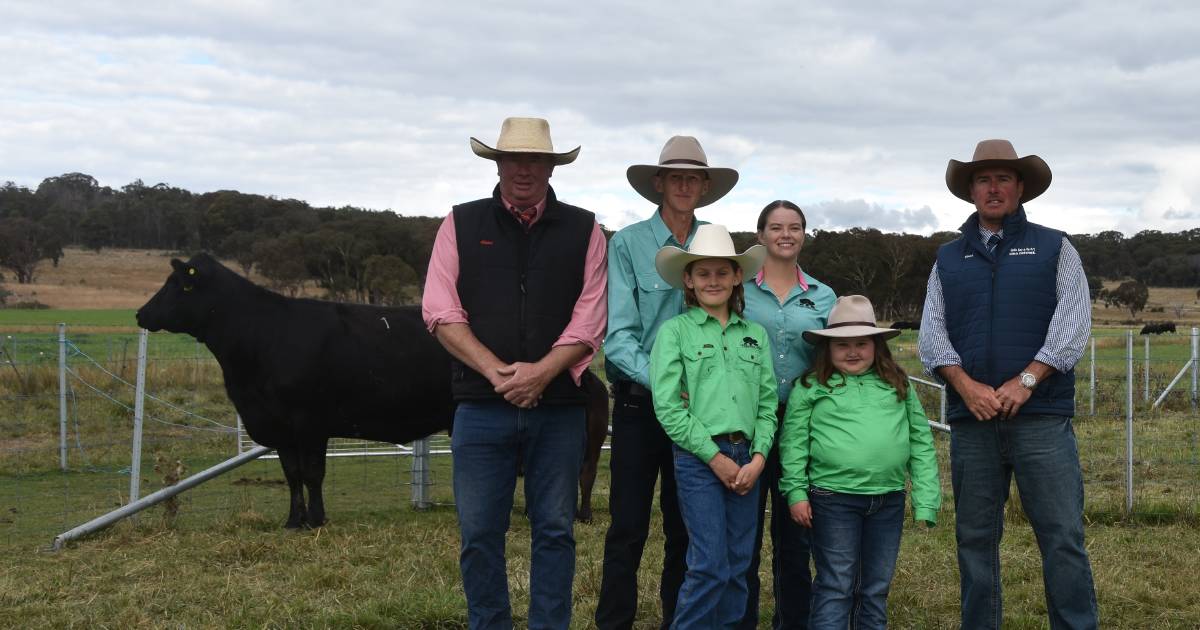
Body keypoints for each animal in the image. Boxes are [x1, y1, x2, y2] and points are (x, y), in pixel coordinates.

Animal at [137, 253, 609, 528]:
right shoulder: (280, 428)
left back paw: (577, 515)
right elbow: (292, 476)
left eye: (178, 285)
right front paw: (293, 521)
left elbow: (312, 474)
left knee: (577, 470)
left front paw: (317, 520)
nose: (141, 313)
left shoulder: (309, 423)